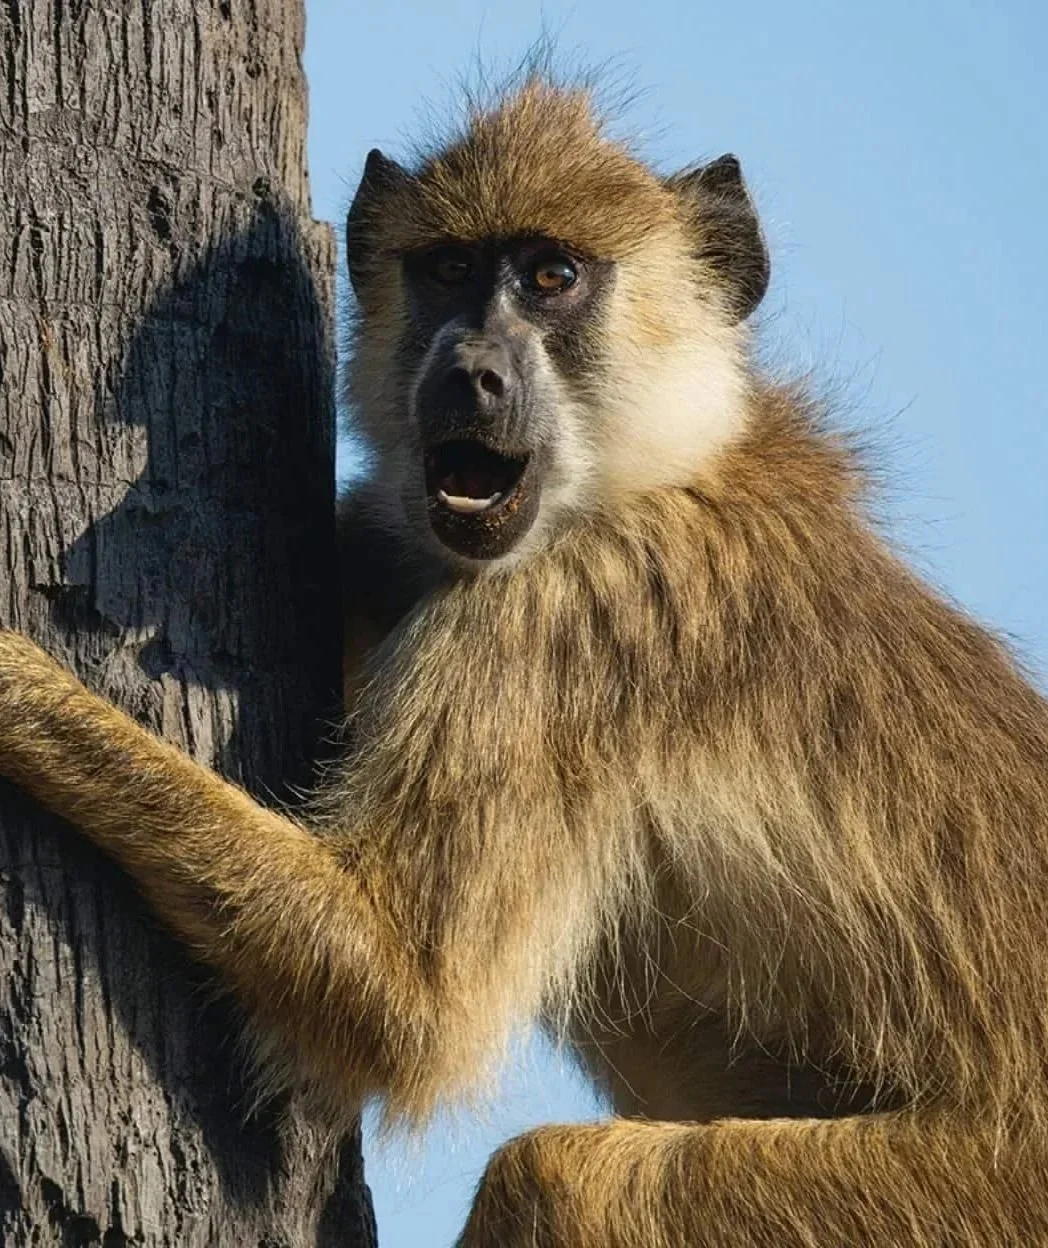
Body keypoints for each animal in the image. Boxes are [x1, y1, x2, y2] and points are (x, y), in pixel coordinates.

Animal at [1, 75, 1047, 1246]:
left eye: (551, 277)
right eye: (449, 270)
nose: (471, 373)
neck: (651, 473)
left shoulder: (563, 615)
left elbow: (403, 1000)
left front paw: (12, 683)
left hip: (964, 1199)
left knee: (556, 1178)